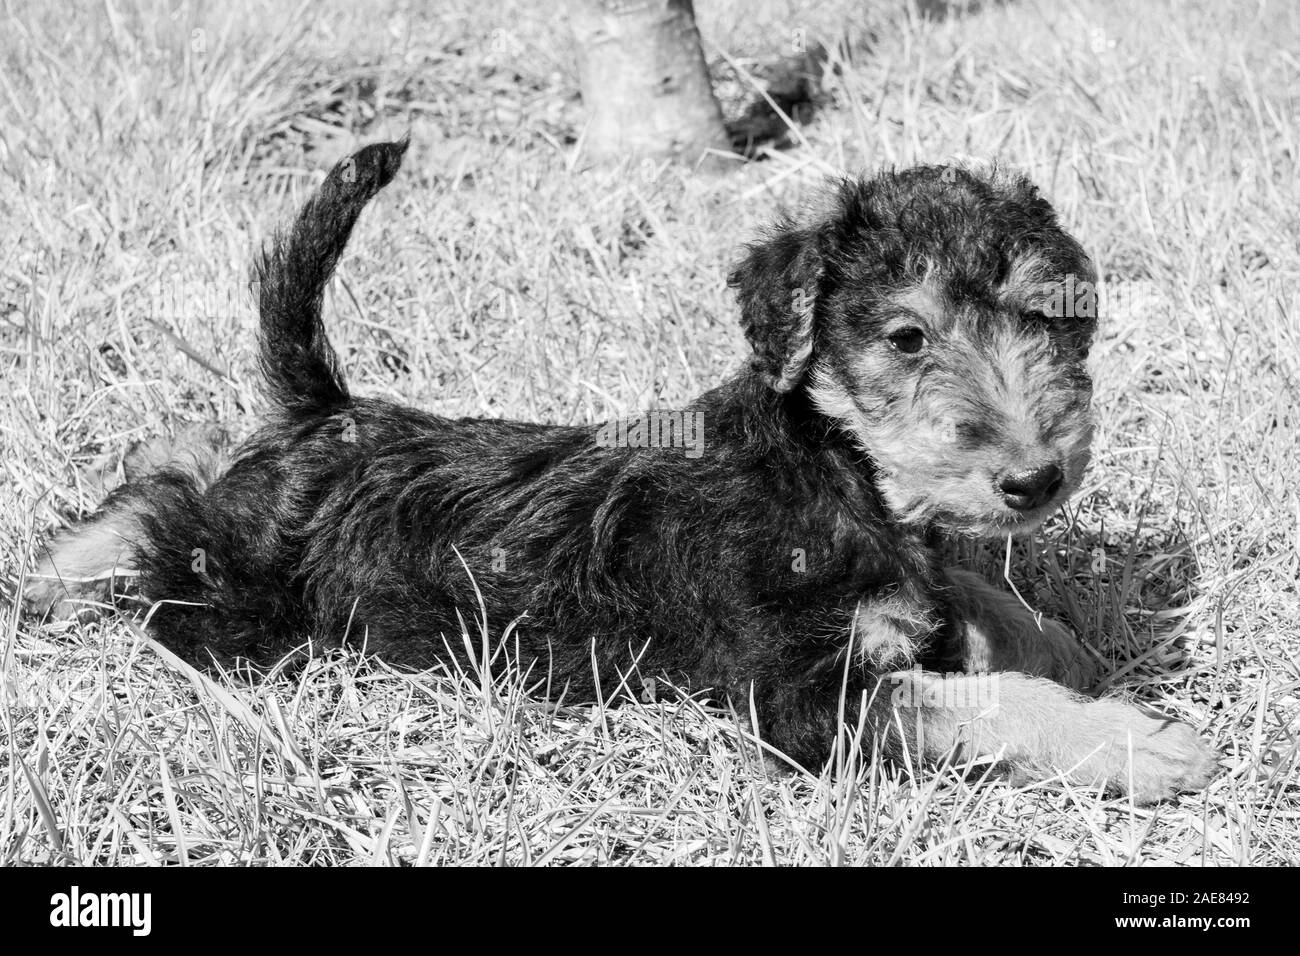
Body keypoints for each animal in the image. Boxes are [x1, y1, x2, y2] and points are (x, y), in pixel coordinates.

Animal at [25, 138, 1211, 806]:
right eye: (908, 336)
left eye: (1051, 315)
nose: (1035, 479)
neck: (829, 463)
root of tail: (328, 415)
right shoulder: (800, 703)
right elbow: (977, 701)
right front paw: (1135, 740)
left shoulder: (906, 583)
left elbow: (975, 600)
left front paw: (1069, 645)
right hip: (249, 608)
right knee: (165, 520)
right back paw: (56, 571)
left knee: (177, 462)